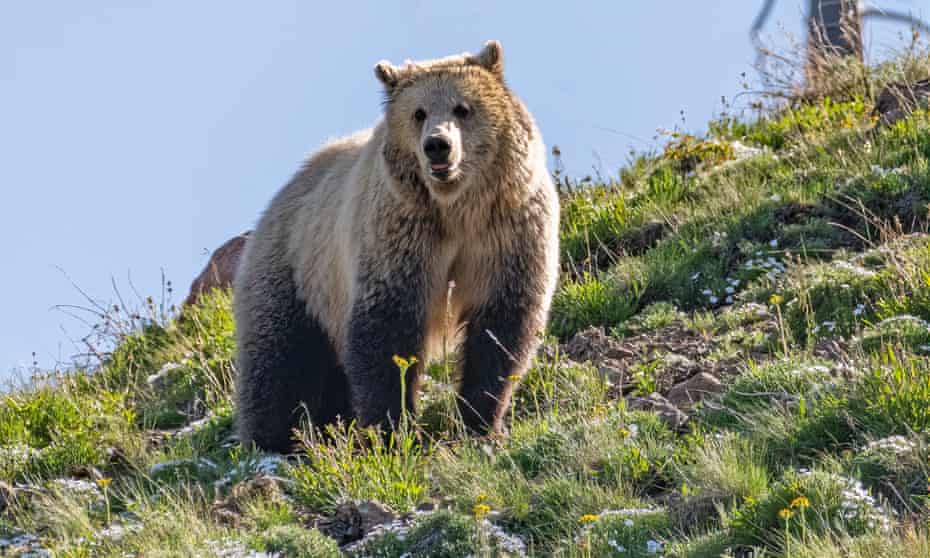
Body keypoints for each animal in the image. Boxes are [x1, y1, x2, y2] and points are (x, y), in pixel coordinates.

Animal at [236, 41, 560, 452]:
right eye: (418, 112)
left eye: (463, 107)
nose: (438, 146)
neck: (456, 209)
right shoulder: (401, 235)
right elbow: (387, 328)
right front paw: (393, 429)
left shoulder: (506, 230)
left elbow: (501, 326)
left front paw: (480, 420)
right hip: (297, 271)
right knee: (281, 361)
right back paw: (272, 442)